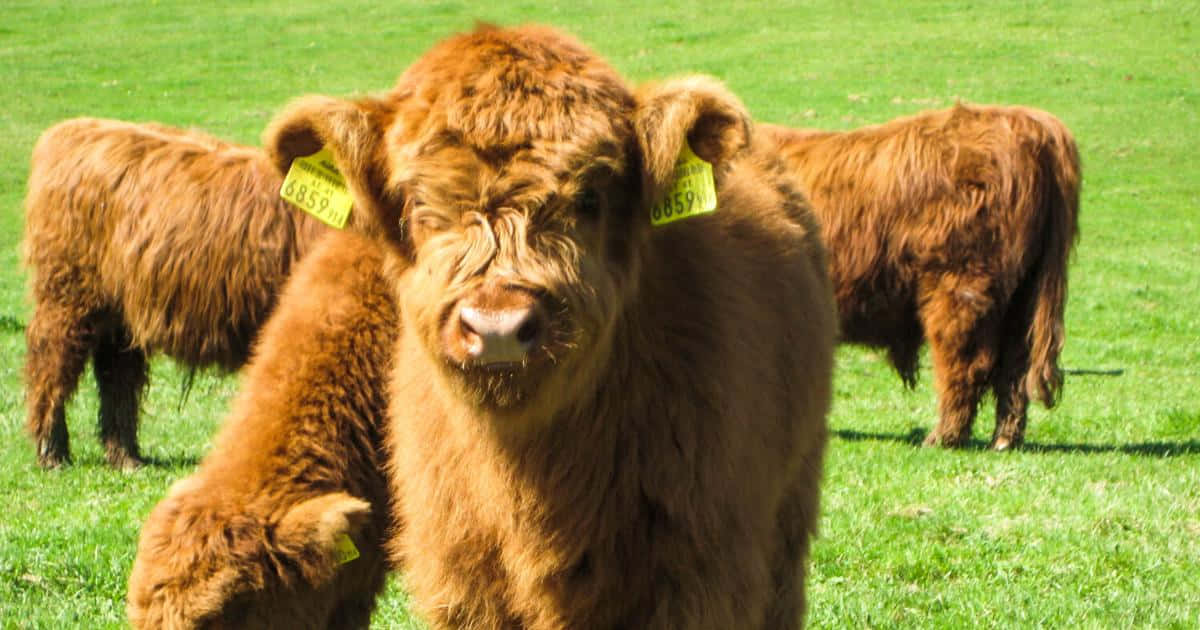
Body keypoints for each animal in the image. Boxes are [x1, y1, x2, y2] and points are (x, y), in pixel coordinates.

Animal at [22, 118, 327, 469]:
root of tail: (72, 128)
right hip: (68, 293)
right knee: (51, 359)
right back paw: (52, 452)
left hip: (119, 310)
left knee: (117, 373)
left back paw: (126, 456)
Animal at [761, 103, 1080, 449]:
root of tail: (1026, 121)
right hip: (1024, 297)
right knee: (1014, 369)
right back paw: (1004, 439)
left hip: (960, 284)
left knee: (966, 364)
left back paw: (943, 436)